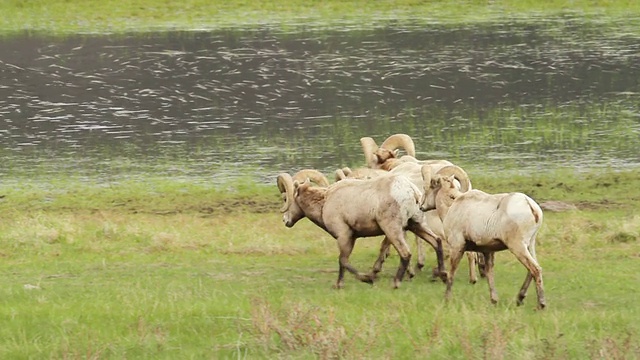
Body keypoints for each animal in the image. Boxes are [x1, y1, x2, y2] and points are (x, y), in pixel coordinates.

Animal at [276, 170, 444, 288]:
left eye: (286, 198)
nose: (285, 220)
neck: (324, 202)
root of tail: (411, 191)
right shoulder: (352, 237)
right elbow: (344, 260)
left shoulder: (344, 235)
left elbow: (343, 260)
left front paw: (358, 280)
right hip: (416, 224)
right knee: (436, 241)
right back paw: (441, 274)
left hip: (393, 229)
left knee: (405, 253)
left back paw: (396, 283)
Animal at [420, 166, 544, 310]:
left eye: (430, 186)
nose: (421, 206)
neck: (451, 208)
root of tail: (531, 206)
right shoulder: (487, 251)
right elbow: (490, 274)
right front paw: (494, 300)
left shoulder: (457, 246)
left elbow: (452, 273)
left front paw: (447, 299)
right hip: (529, 245)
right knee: (532, 270)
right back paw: (520, 298)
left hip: (518, 246)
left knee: (535, 269)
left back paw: (540, 304)